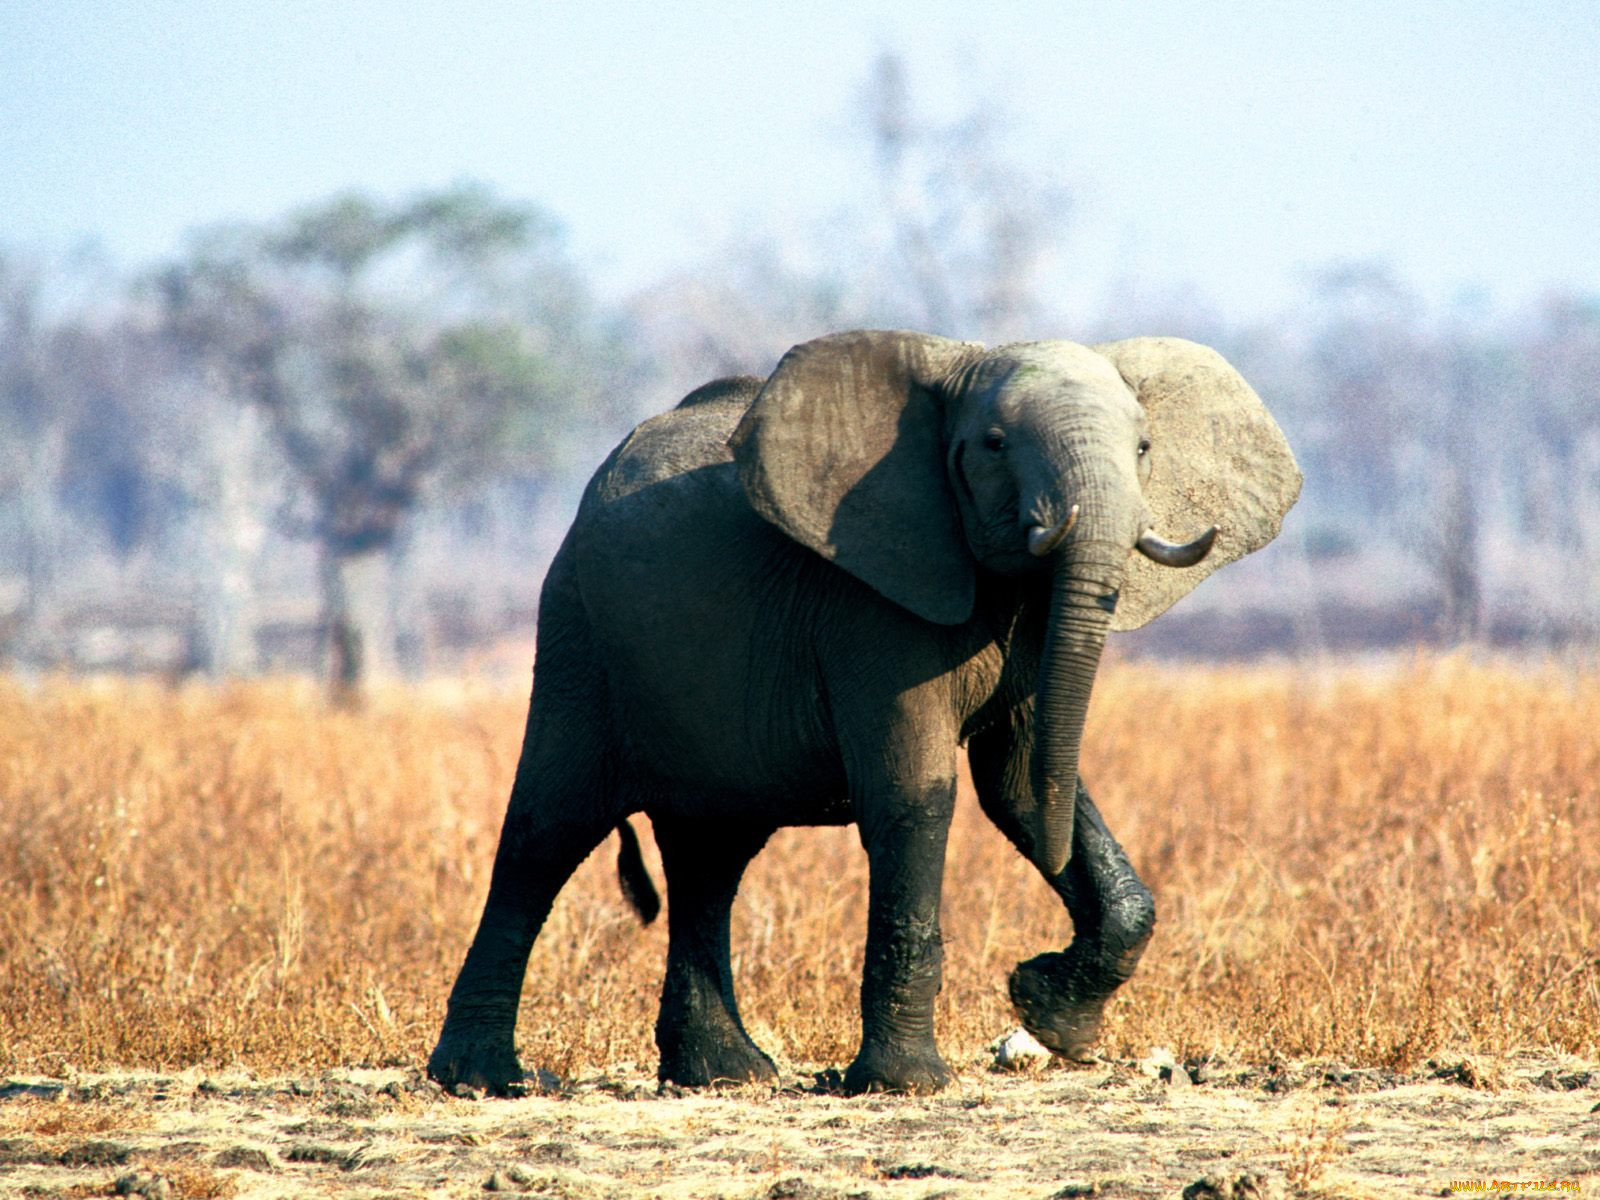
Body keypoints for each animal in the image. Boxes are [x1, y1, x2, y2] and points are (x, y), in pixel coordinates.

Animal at [428, 329, 1299, 1100]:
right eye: (992, 444)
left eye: (1145, 448)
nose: (1032, 966)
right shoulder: (870, 601)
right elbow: (918, 796)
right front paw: (908, 1084)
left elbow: (1020, 787)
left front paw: (1049, 1014)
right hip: (578, 631)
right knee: (548, 831)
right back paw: (485, 1081)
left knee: (711, 857)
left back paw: (725, 1075)